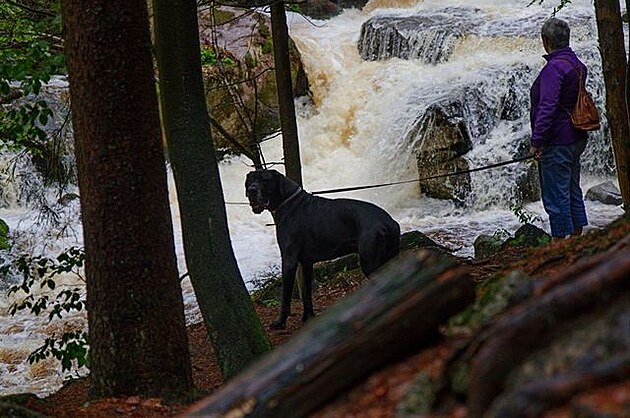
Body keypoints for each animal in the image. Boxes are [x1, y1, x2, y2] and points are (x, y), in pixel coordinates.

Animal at [247, 168, 400, 328]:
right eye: (250, 180)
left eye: (265, 179)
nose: (252, 190)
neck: (287, 201)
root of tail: (389, 222)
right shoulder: (306, 263)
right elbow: (306, 293)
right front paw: (308, 317)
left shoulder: (289, 261)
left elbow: (285, 296)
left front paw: (280, 322)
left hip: (371, 264)